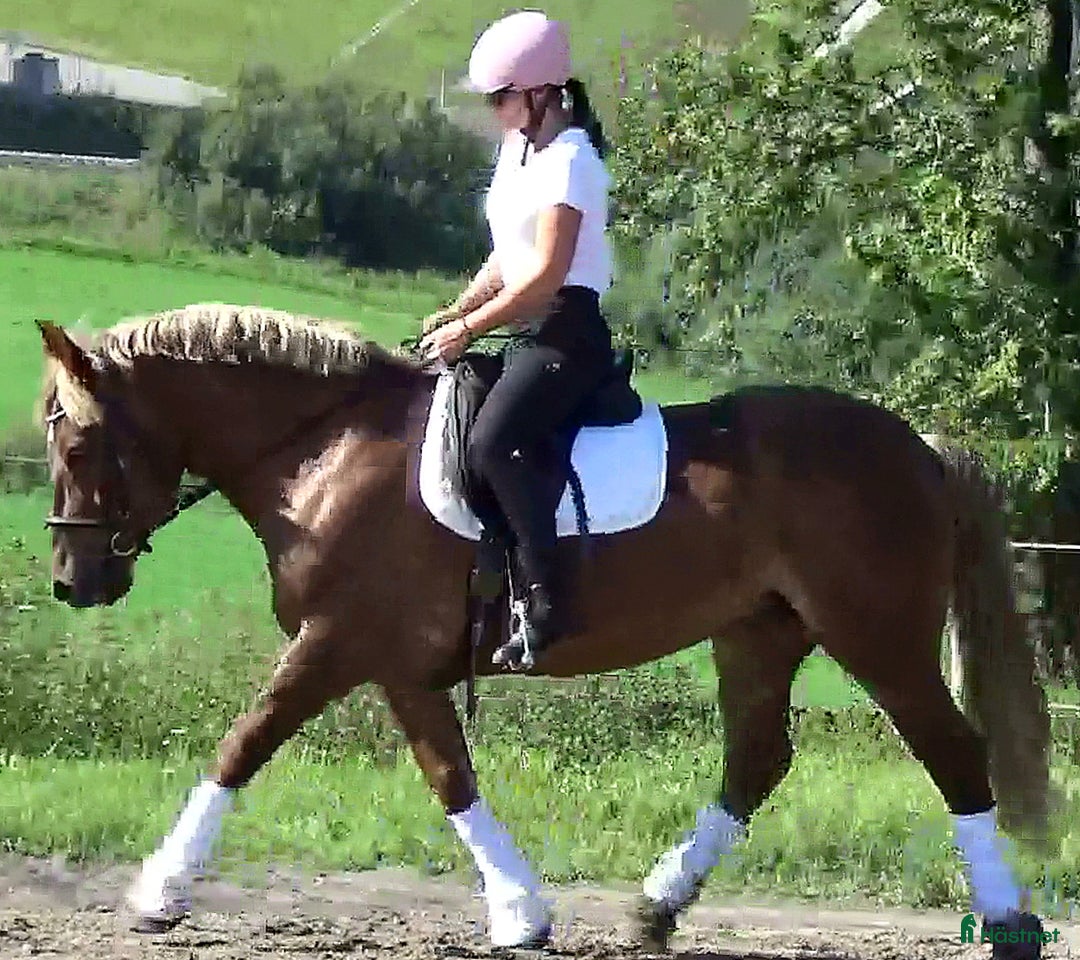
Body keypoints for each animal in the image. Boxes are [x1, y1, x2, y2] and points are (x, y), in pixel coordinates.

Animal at [34, 303, 1055, 959]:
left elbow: (242, 745)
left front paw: (159, 891)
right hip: (760, 635)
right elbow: (450, 777)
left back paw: (1008, 921)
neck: (322, 452)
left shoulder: (333, 642)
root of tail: (921, 449)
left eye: (79, 444)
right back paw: (655, 909)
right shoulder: (401, 667)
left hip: (876, 636)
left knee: (952, 752)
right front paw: (521, 913)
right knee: (757, 760)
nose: (74, 581)